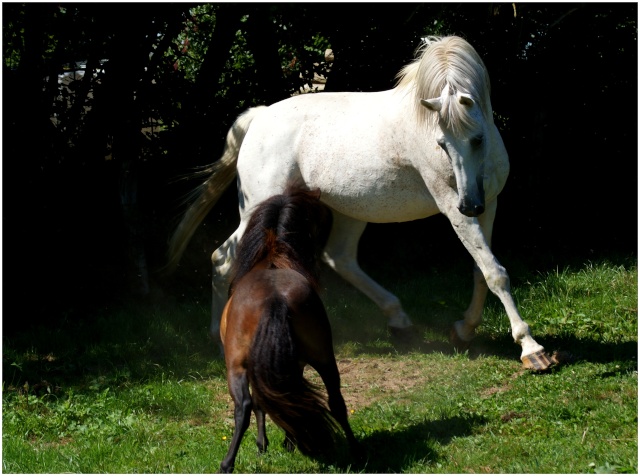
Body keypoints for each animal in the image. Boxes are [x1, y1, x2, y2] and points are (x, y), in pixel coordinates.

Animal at [170, 37, 556, 372]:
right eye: (441, 144)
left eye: (477, 138)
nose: (468, 204)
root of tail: (259, 118)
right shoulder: (451, 208)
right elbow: (495, 272)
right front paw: (532, 350)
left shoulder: (489, 204)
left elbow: (482, 270)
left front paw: (464, 330)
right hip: (260, 208)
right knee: (222, 258)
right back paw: (220, 340)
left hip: (351, 211)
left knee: (339, 258)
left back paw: (400, 322)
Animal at [220, 186, 360, 472]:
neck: (272, 257)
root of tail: (275, 298)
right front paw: (288, 441)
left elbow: (262, 403)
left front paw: (264, 445)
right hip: (323, 357)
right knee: (335, 401)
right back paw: (355, 453)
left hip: (237, 367)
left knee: (244, 407)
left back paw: (227, 463)